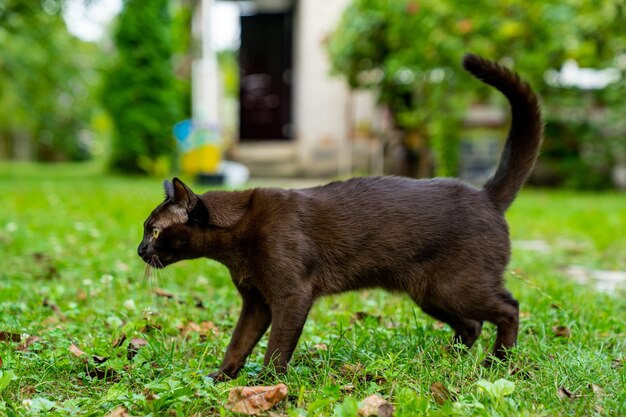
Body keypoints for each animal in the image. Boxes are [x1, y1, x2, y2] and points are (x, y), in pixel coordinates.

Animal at [136, 53, 540, 378]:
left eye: (153, 231)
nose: (140, 250)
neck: (234, 246)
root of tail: (487, 195)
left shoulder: (291, 296)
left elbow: (275, 350)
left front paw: (266, 386)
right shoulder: (256, 302)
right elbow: (238, 344)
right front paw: (220, 380)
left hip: (456, 287)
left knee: (509, 308)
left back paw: (496, 362)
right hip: (431, 294)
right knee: (472, 326)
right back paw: (446, 361)